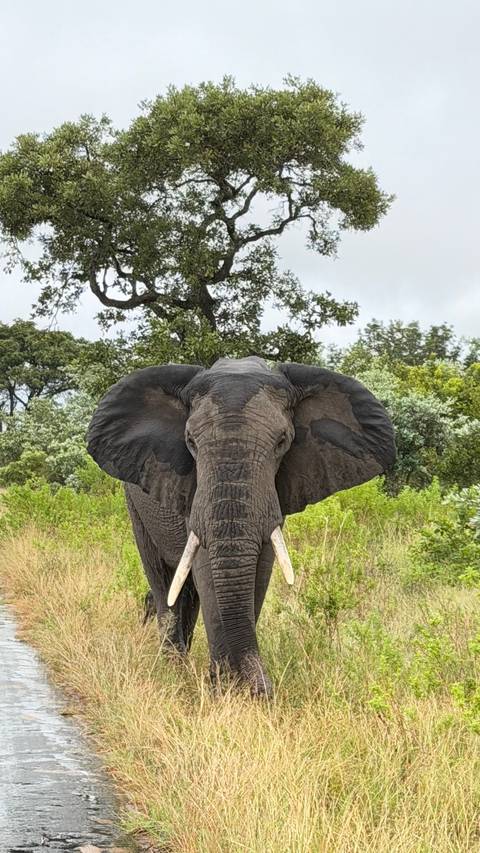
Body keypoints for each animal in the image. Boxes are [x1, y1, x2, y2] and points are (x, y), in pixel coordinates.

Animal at [87, 357, 395, 697]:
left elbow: (260, 569)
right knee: (163, 581)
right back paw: (173, 667)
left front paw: (238, 689)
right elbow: (206, 567)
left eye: (282, 441)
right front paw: (224, 690)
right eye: (190, 442)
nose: (266, 689)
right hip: (135, 505)